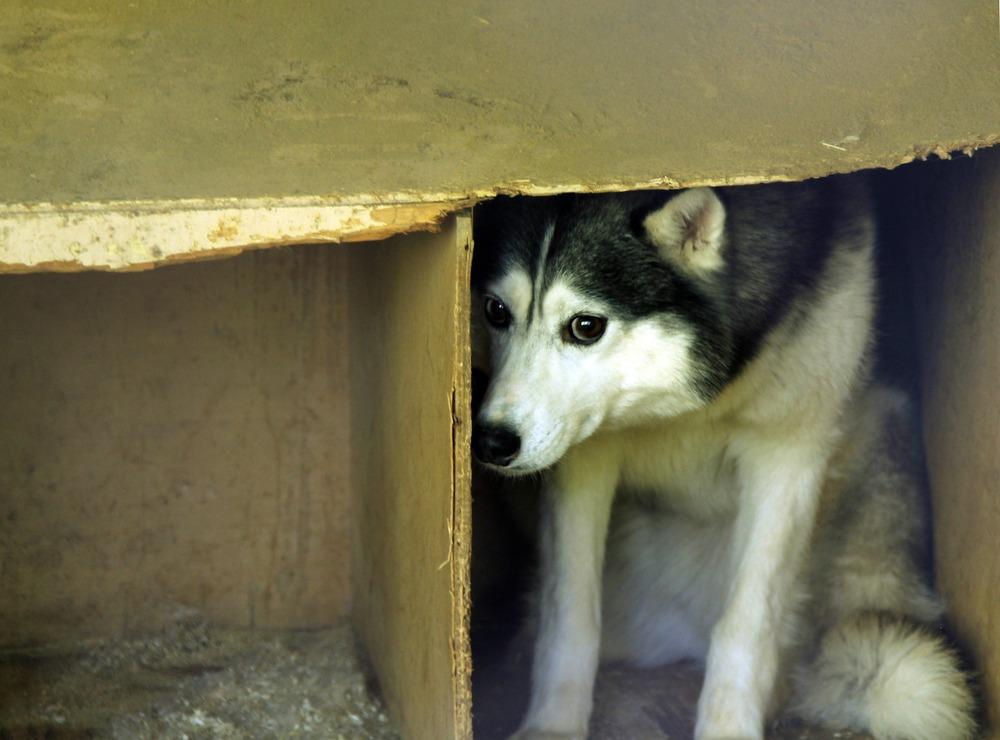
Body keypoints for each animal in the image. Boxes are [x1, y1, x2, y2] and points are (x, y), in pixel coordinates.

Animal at [470, 179, 976, 740]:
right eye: (496, 311)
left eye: (585, 326)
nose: (491, 441)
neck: (686, 408)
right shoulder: (583, 456)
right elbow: (569, 613)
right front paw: (552, 725)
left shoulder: (788, 452)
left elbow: (745, 623)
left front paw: (727, 726)